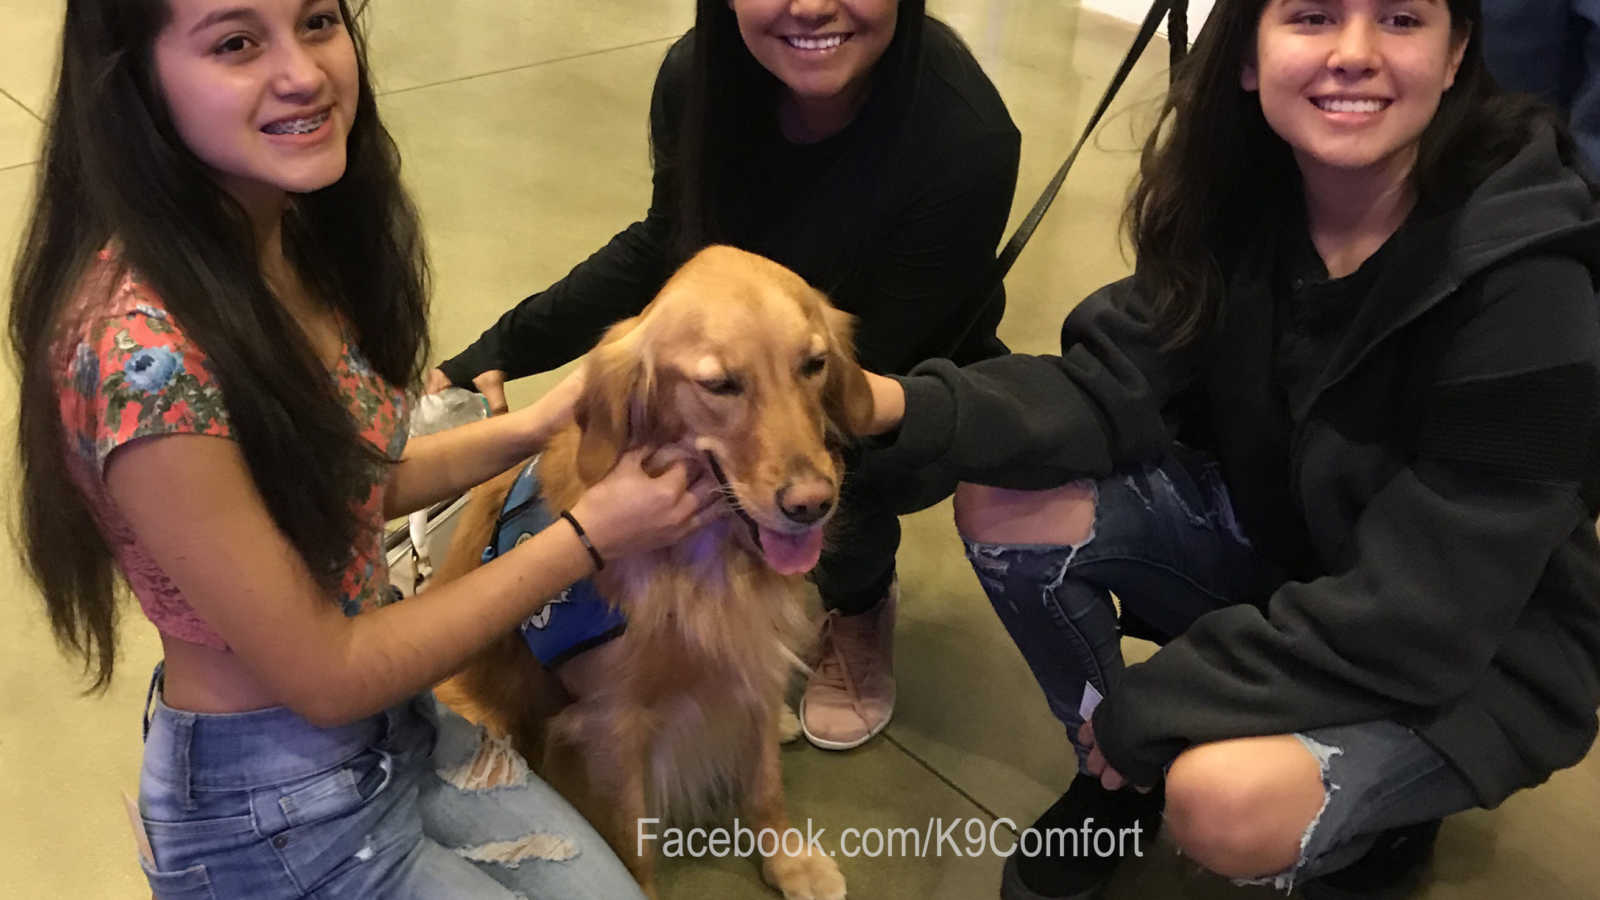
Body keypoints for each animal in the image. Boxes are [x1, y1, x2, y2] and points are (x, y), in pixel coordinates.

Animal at [432, 241, 870, 890]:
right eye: (719, 384)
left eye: (814, 364)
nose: (812, 504)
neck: (704, 559)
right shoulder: (613, 722)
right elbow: (632, 840)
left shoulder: (754, 655)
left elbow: (764, 782)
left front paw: (787, 859)